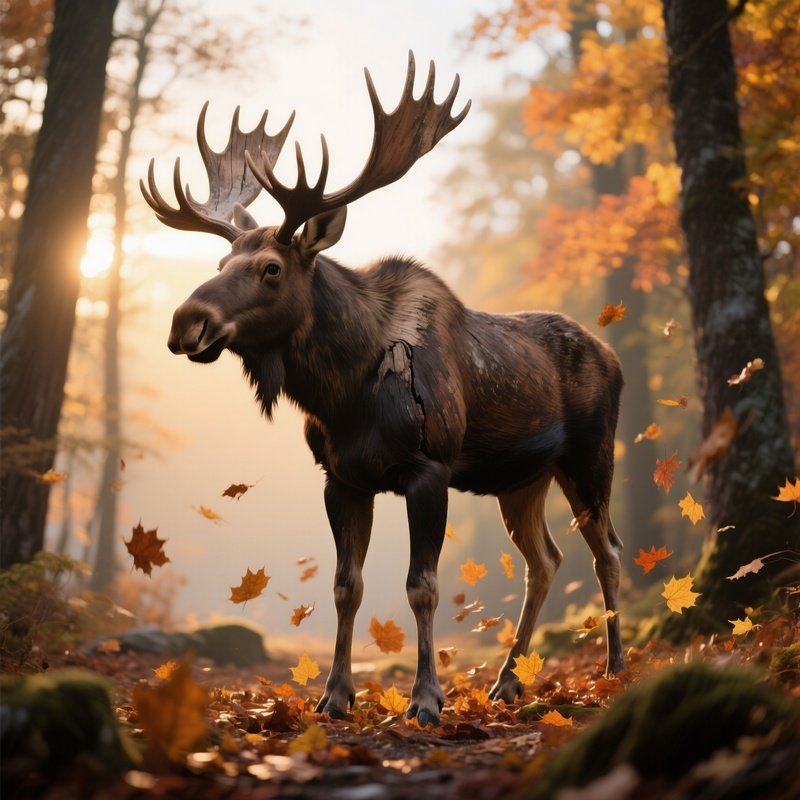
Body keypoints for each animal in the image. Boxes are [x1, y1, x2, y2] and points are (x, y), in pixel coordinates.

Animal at [142, 52, 625, 727]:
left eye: (271, 269)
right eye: (219, 266)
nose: (186, 323)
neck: (344, 394)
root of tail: (614, 356)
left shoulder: (430, 468)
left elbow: (422, 586)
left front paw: (425, 701)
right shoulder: (342, 477)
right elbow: (347, 586)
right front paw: (334, 696)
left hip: (590, 456)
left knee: (607, 551)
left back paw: (614, 668)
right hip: (522, 479)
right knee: (545, 560)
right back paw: (506, 682)